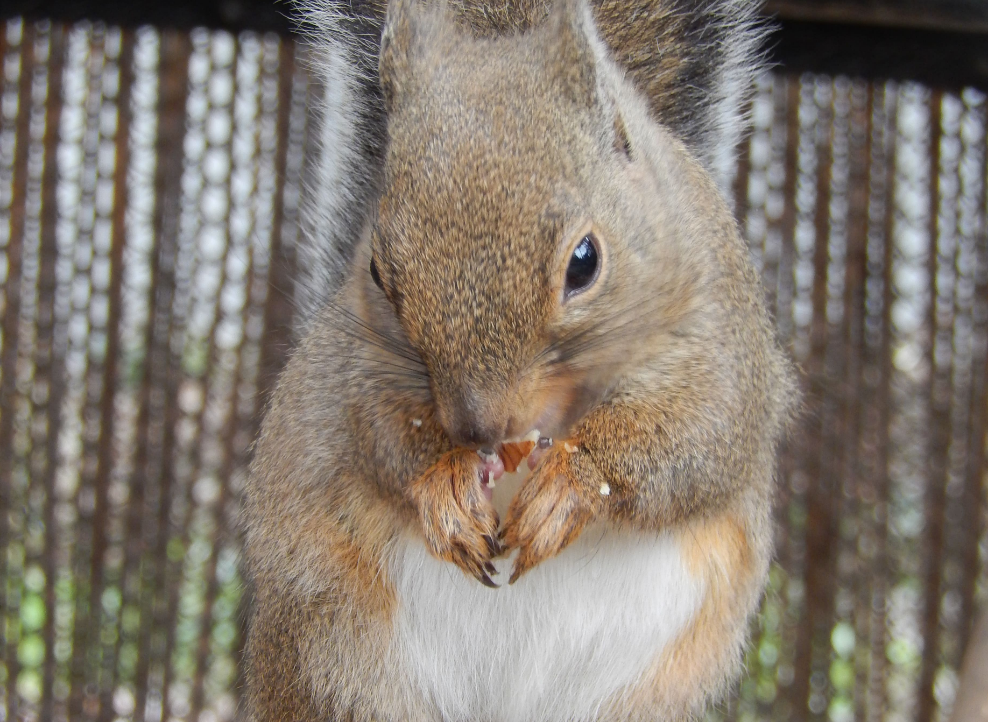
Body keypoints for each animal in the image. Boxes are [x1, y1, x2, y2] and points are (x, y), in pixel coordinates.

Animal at [243, 0, 800, 716]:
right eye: (376, 271)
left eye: (585, 261)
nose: (479, 428)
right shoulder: (360, 367)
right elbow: (379, 432)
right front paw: (445, 486)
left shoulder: (724, 341)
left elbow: (700, 437)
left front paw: (574, 481)